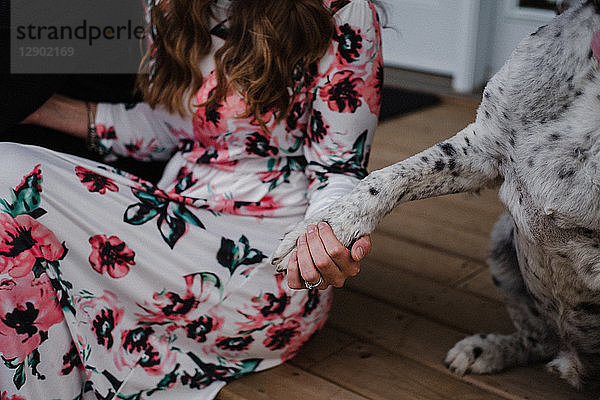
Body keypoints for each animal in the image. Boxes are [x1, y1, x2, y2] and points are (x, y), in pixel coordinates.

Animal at [270, 0, 600, 388]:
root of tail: (575, 362)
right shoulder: (482, 148)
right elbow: (389, 177)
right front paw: (321, 230)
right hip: (503, 240)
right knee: (540, 338)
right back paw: (486, 350)